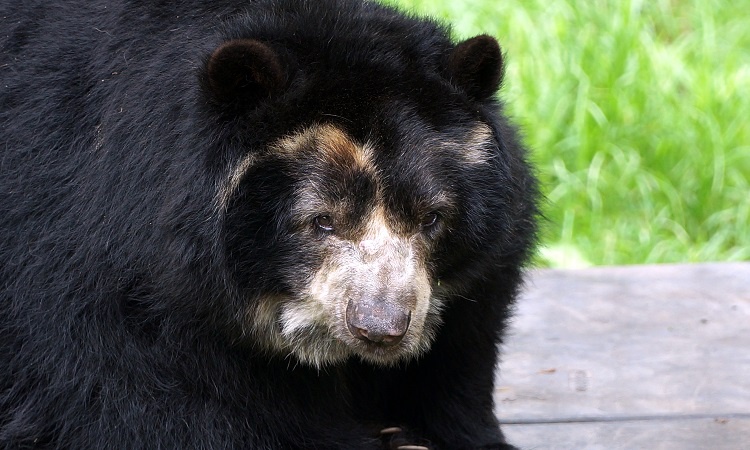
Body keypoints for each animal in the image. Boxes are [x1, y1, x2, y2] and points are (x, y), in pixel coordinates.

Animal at [1, 0, 540, 450]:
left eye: (431, 217)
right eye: (321, 222)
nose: (380, 328)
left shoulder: (477, 287)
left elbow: (455, 362)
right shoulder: (94, 273)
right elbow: (142, 402)